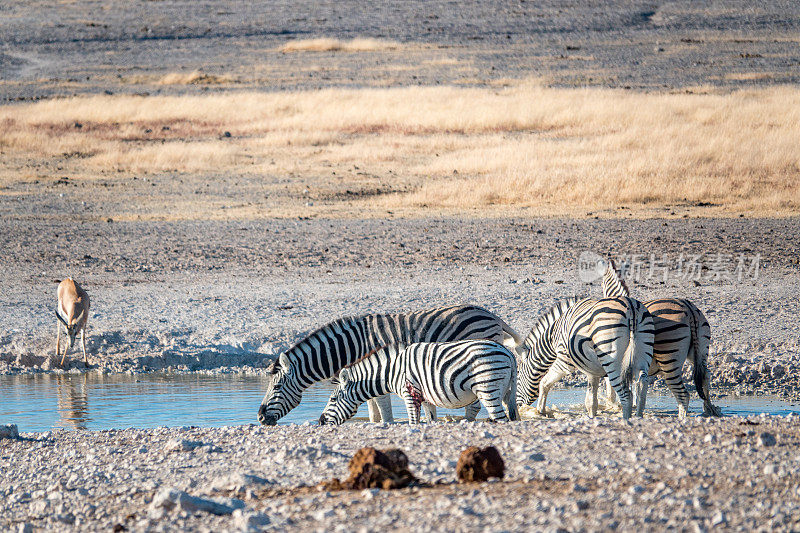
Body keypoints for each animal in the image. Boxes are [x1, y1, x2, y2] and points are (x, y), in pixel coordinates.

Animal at [318, 340, 520, 424]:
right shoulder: (426, 398)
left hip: (488, 389)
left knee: (501, 419)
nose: (320, 421)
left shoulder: (410, 394)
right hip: (506, 392)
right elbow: (430, 420)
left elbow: (413, 422)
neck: (392, 372)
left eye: (333, 400)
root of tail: (508, 353)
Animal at [516, 296, 652, 420]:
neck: (553, 336)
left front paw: (541, 411)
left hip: (613, 360)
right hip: (643, 354)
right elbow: (591, 401)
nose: (518, 407)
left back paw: (626, 420)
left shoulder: (564, 361)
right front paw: (592, 416)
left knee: (627, 395)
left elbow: (544, 383)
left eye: (517, 375)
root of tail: (631, 306)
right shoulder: (593, 370)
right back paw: (639, 418)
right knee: (642, 387)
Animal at [600, 260, 724, 418]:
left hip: (670, 358)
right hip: (701, 350)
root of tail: (689, 309)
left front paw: (614, 405)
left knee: (684, 394)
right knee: (706, 375)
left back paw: (683, 417)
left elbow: (613, 384)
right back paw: (709, 409)